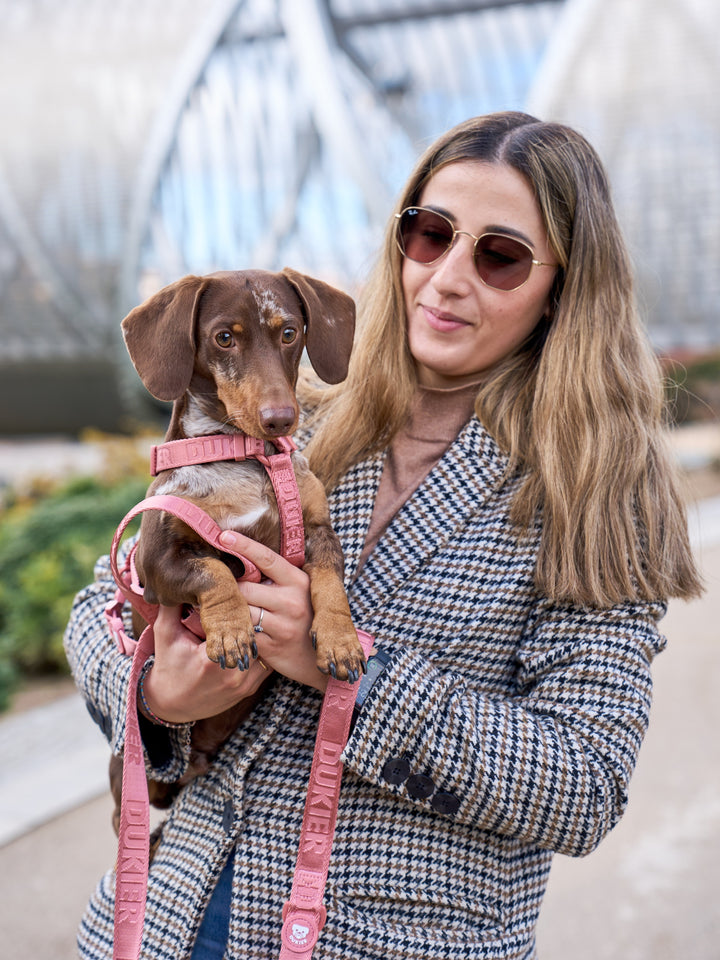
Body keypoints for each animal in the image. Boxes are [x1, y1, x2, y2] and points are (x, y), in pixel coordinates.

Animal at [109, 266, 368, 836]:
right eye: (224, 338)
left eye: (289, 332)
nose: (281, 419)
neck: (241, 455)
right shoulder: (156, 563)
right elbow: (213, 571)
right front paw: (229, 629)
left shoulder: (317, 531)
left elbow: (329, 580)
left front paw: (339, 639)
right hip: (133, 772)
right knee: (125, 815)